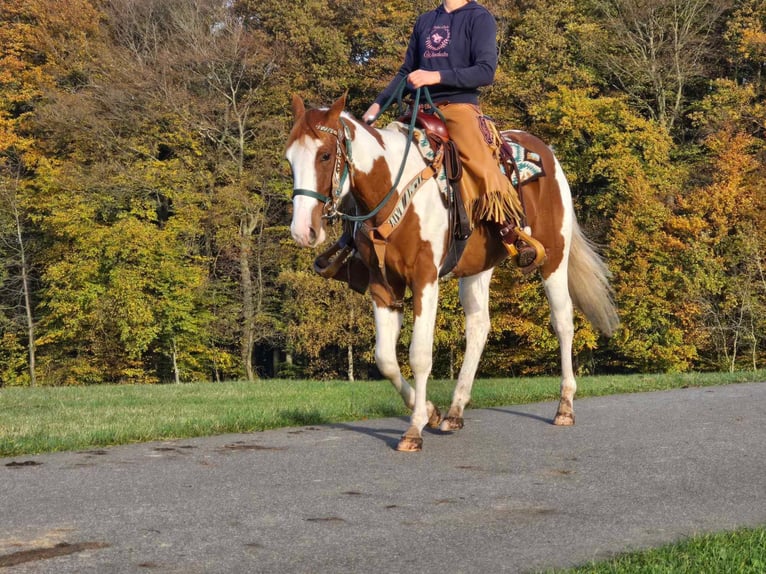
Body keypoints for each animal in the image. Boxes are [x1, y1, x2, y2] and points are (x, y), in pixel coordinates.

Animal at [284, 93, 620, 454]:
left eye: (325, 155)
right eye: (290, 160)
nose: (303, 231)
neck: (394, 190)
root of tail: (547, 151)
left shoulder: (425, 279)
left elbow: (419, 355)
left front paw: (414, 429)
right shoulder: (383, 286)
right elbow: (385, 359)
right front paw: (431, 412)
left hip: (554, 258)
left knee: (563, 323)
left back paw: (565, 407)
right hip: (478, 268)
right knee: (479, 325)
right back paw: (455, 411)